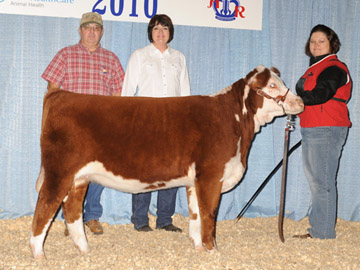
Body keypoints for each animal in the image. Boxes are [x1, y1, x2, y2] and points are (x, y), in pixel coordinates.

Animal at [30, 66, 304, 260]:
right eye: (271, 84)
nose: (300, 102)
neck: (234, 122)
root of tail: (59, 94)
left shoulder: (194, 180)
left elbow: (195, 213)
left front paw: (198, 247)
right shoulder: (211, 174)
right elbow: (209, 213)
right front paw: (212, 250)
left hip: (79, 178)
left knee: (72, 210)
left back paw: (84, 249)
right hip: (59, 171)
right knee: (45, 206)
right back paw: (39, 253)